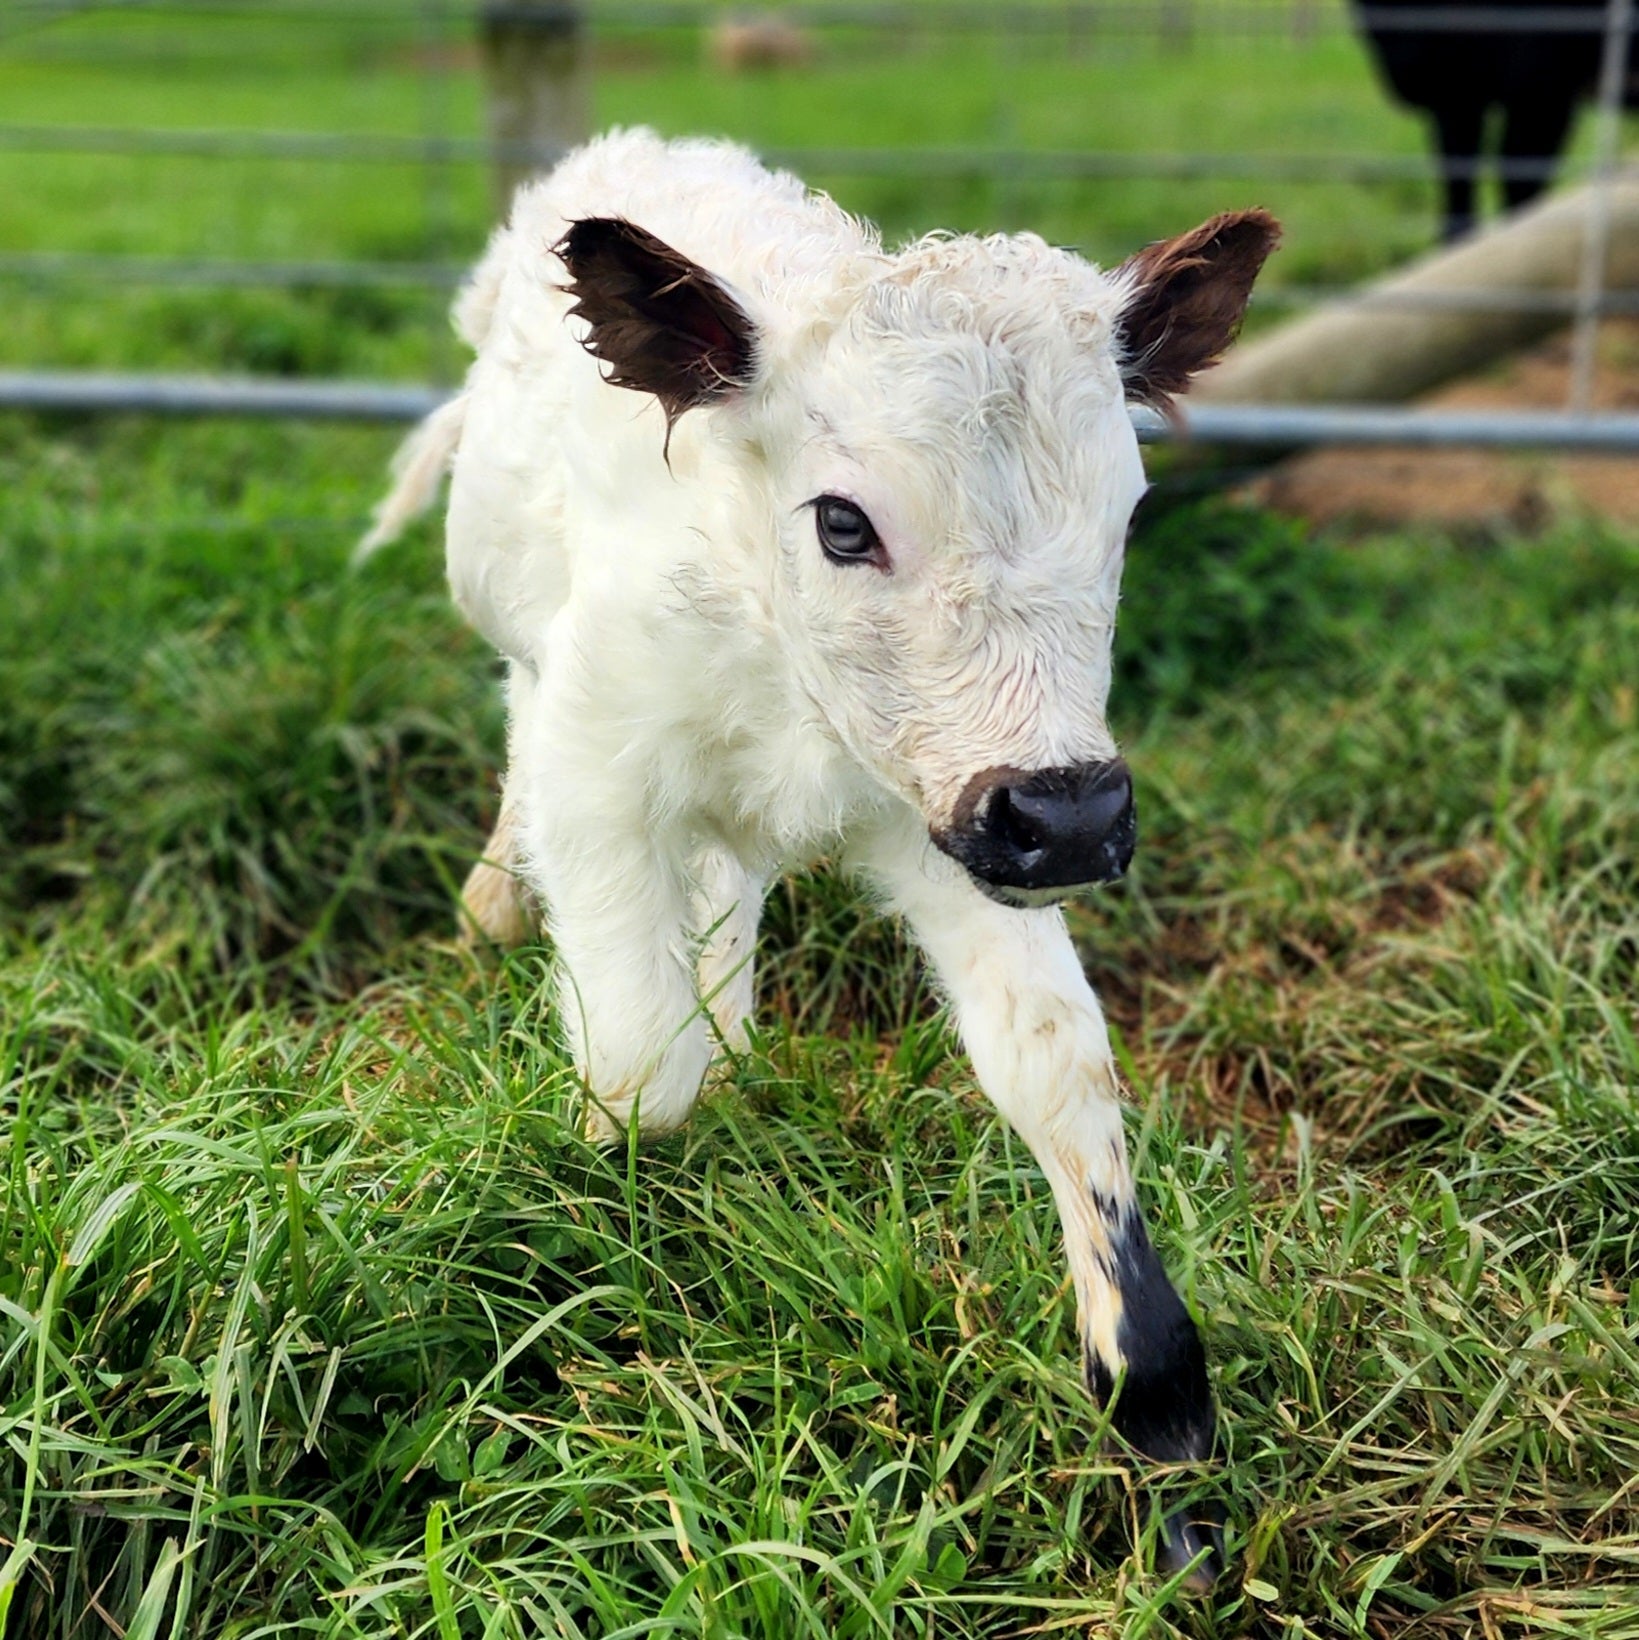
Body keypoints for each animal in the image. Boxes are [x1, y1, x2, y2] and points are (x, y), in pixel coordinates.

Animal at [372, 131, 1279, 1587]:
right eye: (843, 523)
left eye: (1125, 519)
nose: (1076, 819)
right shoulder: (599, 768)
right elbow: (638, 1057)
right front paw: (602, 1244)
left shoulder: (959, 817)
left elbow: (1052, 1061)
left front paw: (1158, 1412)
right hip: (525, 640)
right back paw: (502, 900)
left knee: (727, 893)